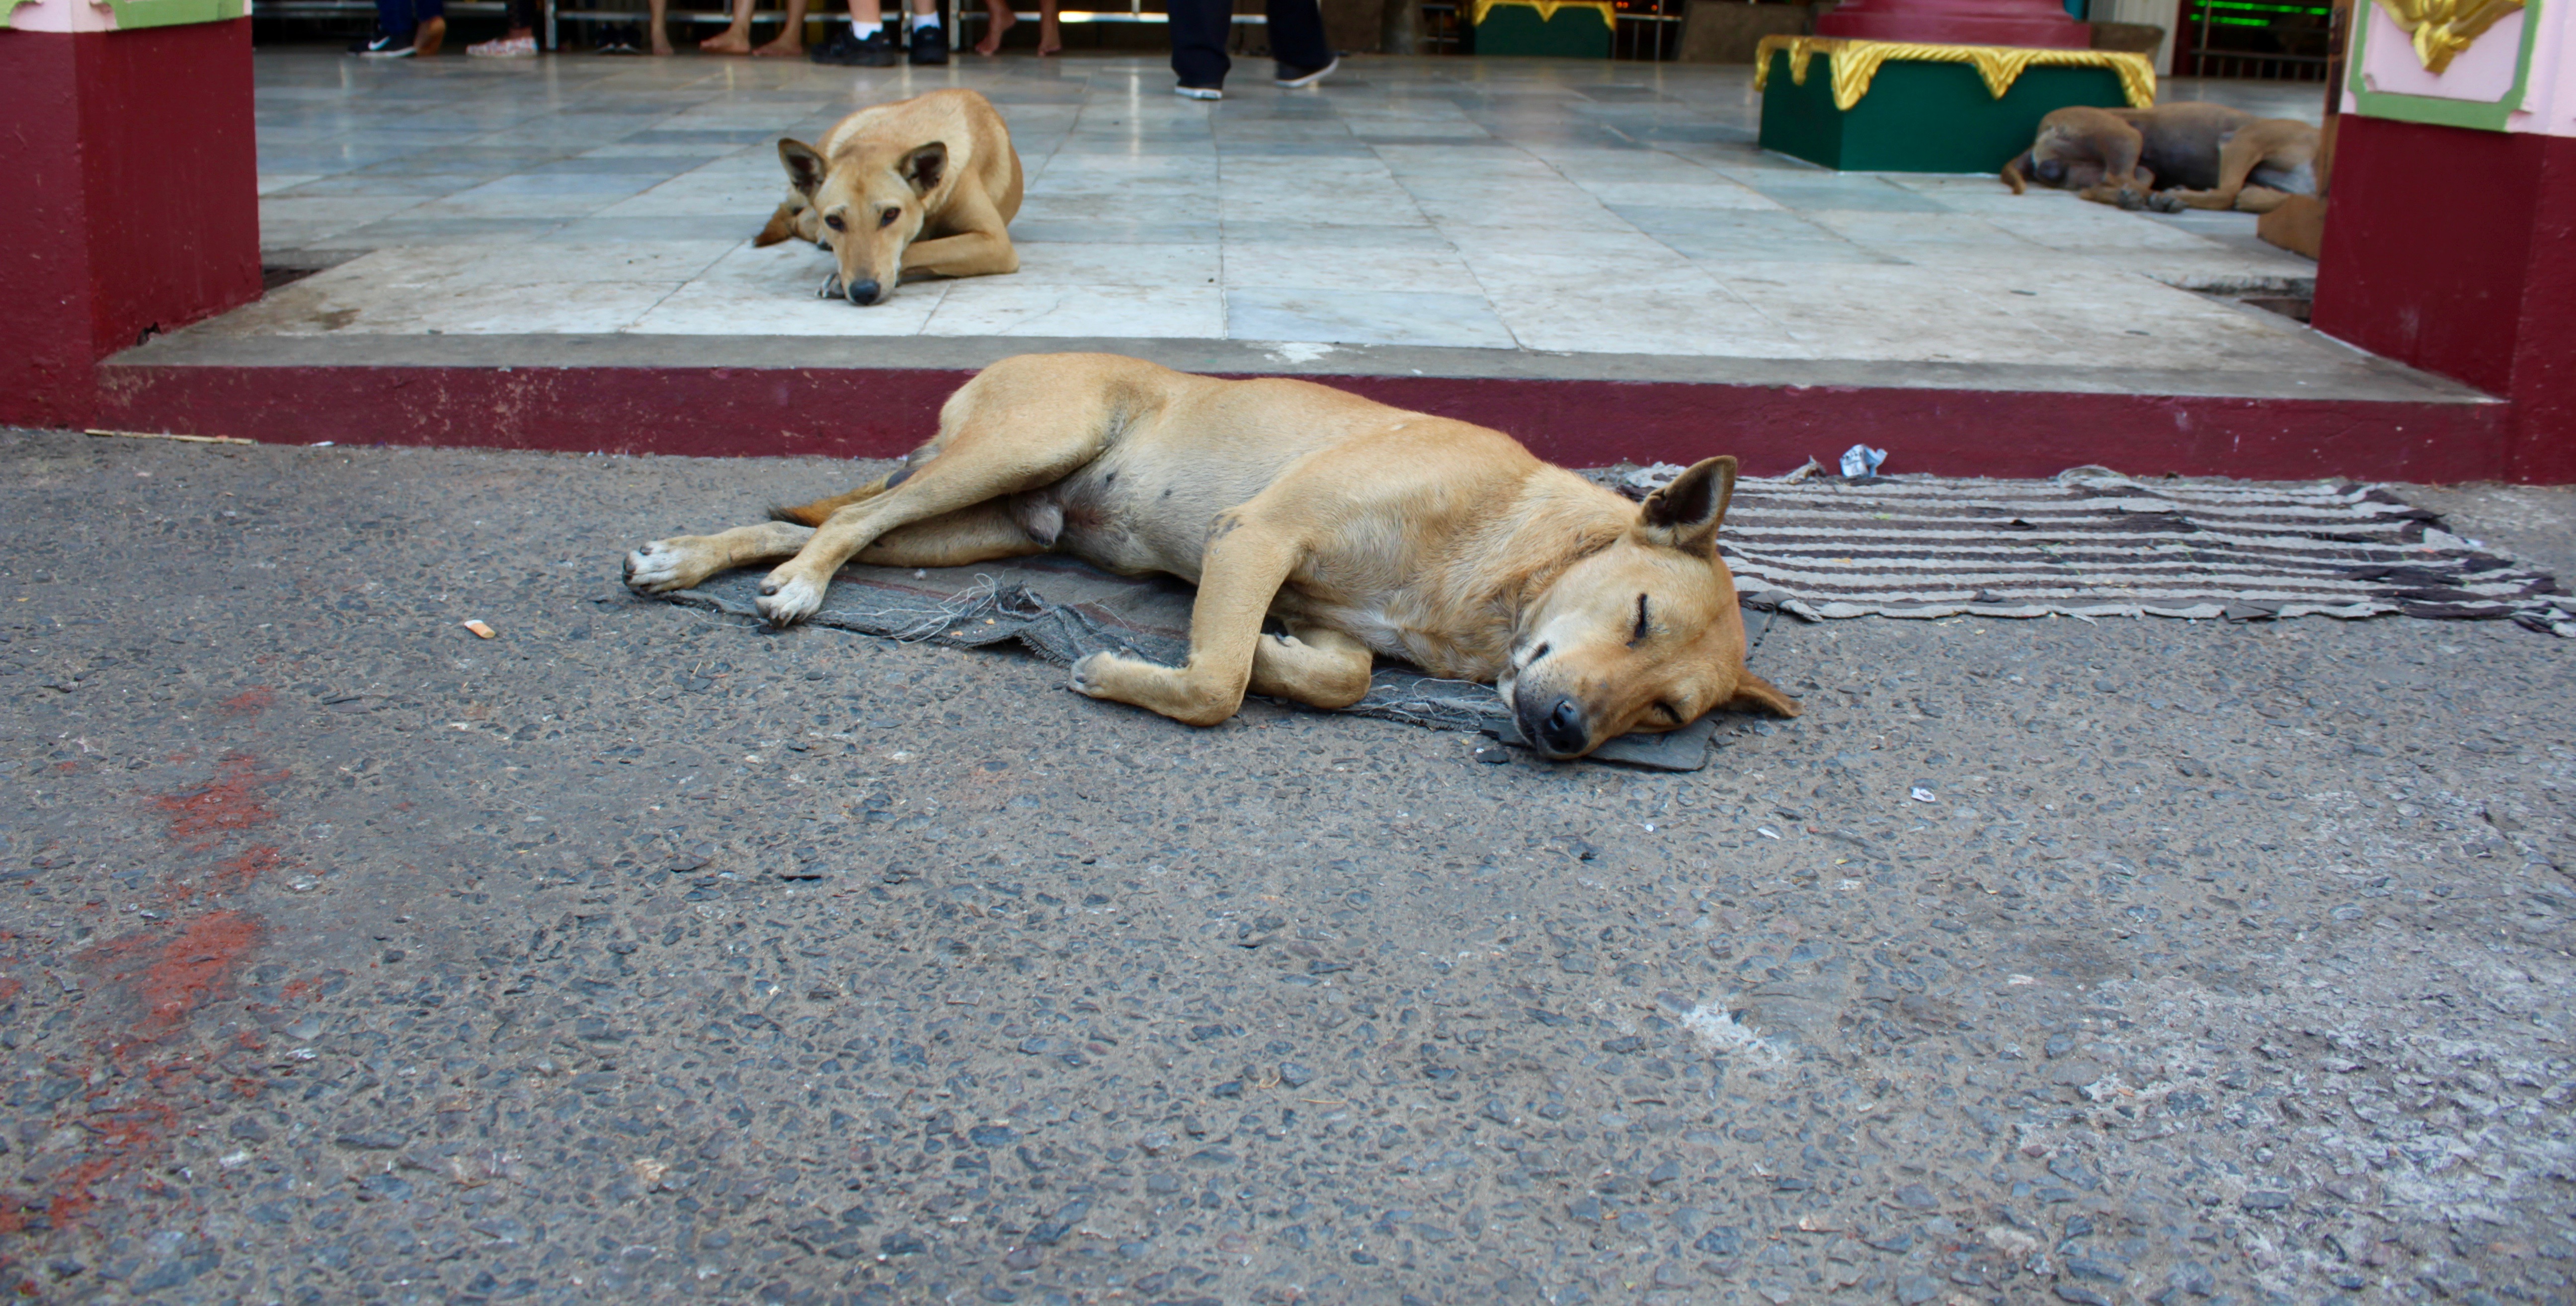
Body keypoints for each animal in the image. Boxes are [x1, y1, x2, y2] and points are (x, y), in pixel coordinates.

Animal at [621, 354, 1800, 760]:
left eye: (1666, 713)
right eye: (1641, 614)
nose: (1562, 734)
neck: (1513, 550)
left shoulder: (1329, 617)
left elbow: (1333, 677)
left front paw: (1274, 655)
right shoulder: (1258, 535)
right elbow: (1216, 684)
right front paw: (1124, 669)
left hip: (988, 521)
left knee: (832, 521)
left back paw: (694, 561)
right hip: (1018, 447)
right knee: (848, 524)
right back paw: (794, 588)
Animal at [753, 88, 1023, 306]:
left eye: (891, 214)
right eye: (834, 221)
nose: (863, 292)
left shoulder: (994, 242)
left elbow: (917, 250)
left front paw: (842, 280)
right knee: (796, 220)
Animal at [2002, 103, 2320, 214]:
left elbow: (2285, 199)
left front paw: (2259, 198)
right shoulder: (2242, 141)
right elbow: (2227, 193)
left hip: (2130, 167)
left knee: (2101, 187)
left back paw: (2139, 199)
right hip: (2125, 135)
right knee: (2118, 179)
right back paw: (2159, 199)